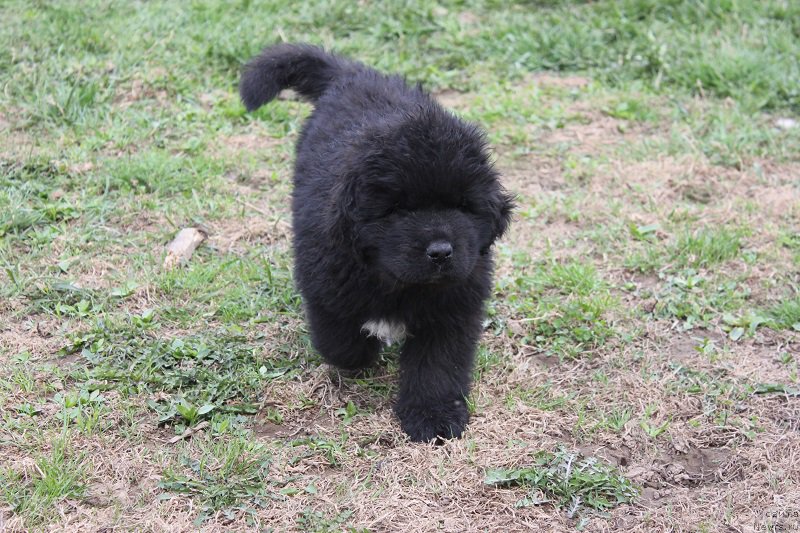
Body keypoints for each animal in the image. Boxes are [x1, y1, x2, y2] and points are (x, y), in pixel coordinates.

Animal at [239, 43, 512, 440]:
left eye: (463, 206)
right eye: (399, 208)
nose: (441, 252)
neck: (400, 282)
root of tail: (354, 73)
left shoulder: (454, 304)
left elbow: (438, 365)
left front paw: (433, 416)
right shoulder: (326, 281)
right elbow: (340, 341)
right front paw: (366, 351)